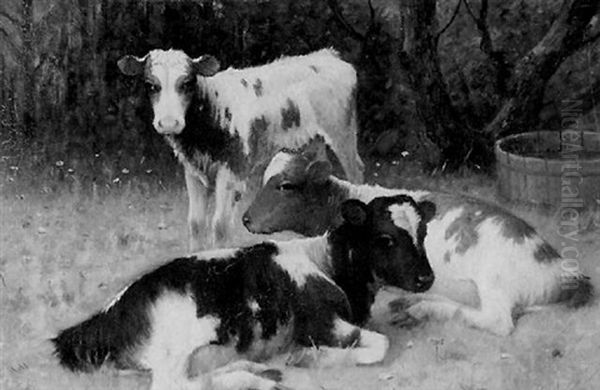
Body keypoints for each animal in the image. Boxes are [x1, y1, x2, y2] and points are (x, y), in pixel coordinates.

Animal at [54, 197, 434, 390]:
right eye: (385, 238)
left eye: (423, 233)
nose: (426, 278)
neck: (326, 262)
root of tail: (106, 315)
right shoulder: (321, 323)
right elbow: (381, 346)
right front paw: (308, 358)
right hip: (174, 351)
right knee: (178, 385)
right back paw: (255, 379)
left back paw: (257, 370)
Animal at [116, 48, 360, 248]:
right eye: (151, 85)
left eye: (186, 83)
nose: (168, 122)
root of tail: (329, 55)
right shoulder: (193, 171)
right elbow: (195, 223)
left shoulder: (231, 172)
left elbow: (220, 225)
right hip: (312, 142)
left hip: (343, 135)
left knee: (356, 170)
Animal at [241, 137, 592, 336]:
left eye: (286, 186)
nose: (245, 219)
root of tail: (566, 271)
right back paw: (412, 303)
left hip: (494, 281)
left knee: (496, 321)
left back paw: (421, 310)